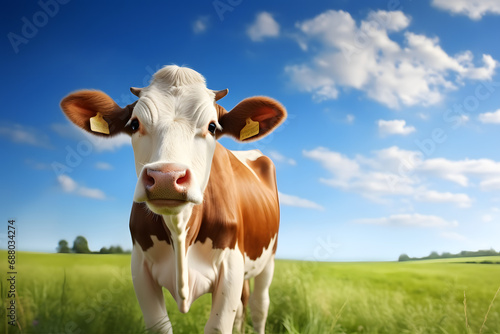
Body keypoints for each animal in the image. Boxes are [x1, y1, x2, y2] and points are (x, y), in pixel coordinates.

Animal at [59, 66, 286, 334]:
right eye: (134, 124)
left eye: (212, 127)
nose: (166, 177)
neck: (180, 231)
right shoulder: (140, 268)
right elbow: (160, 326)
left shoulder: (231, 267)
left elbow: (218, 327)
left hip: (268, 260)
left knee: (260, 307)